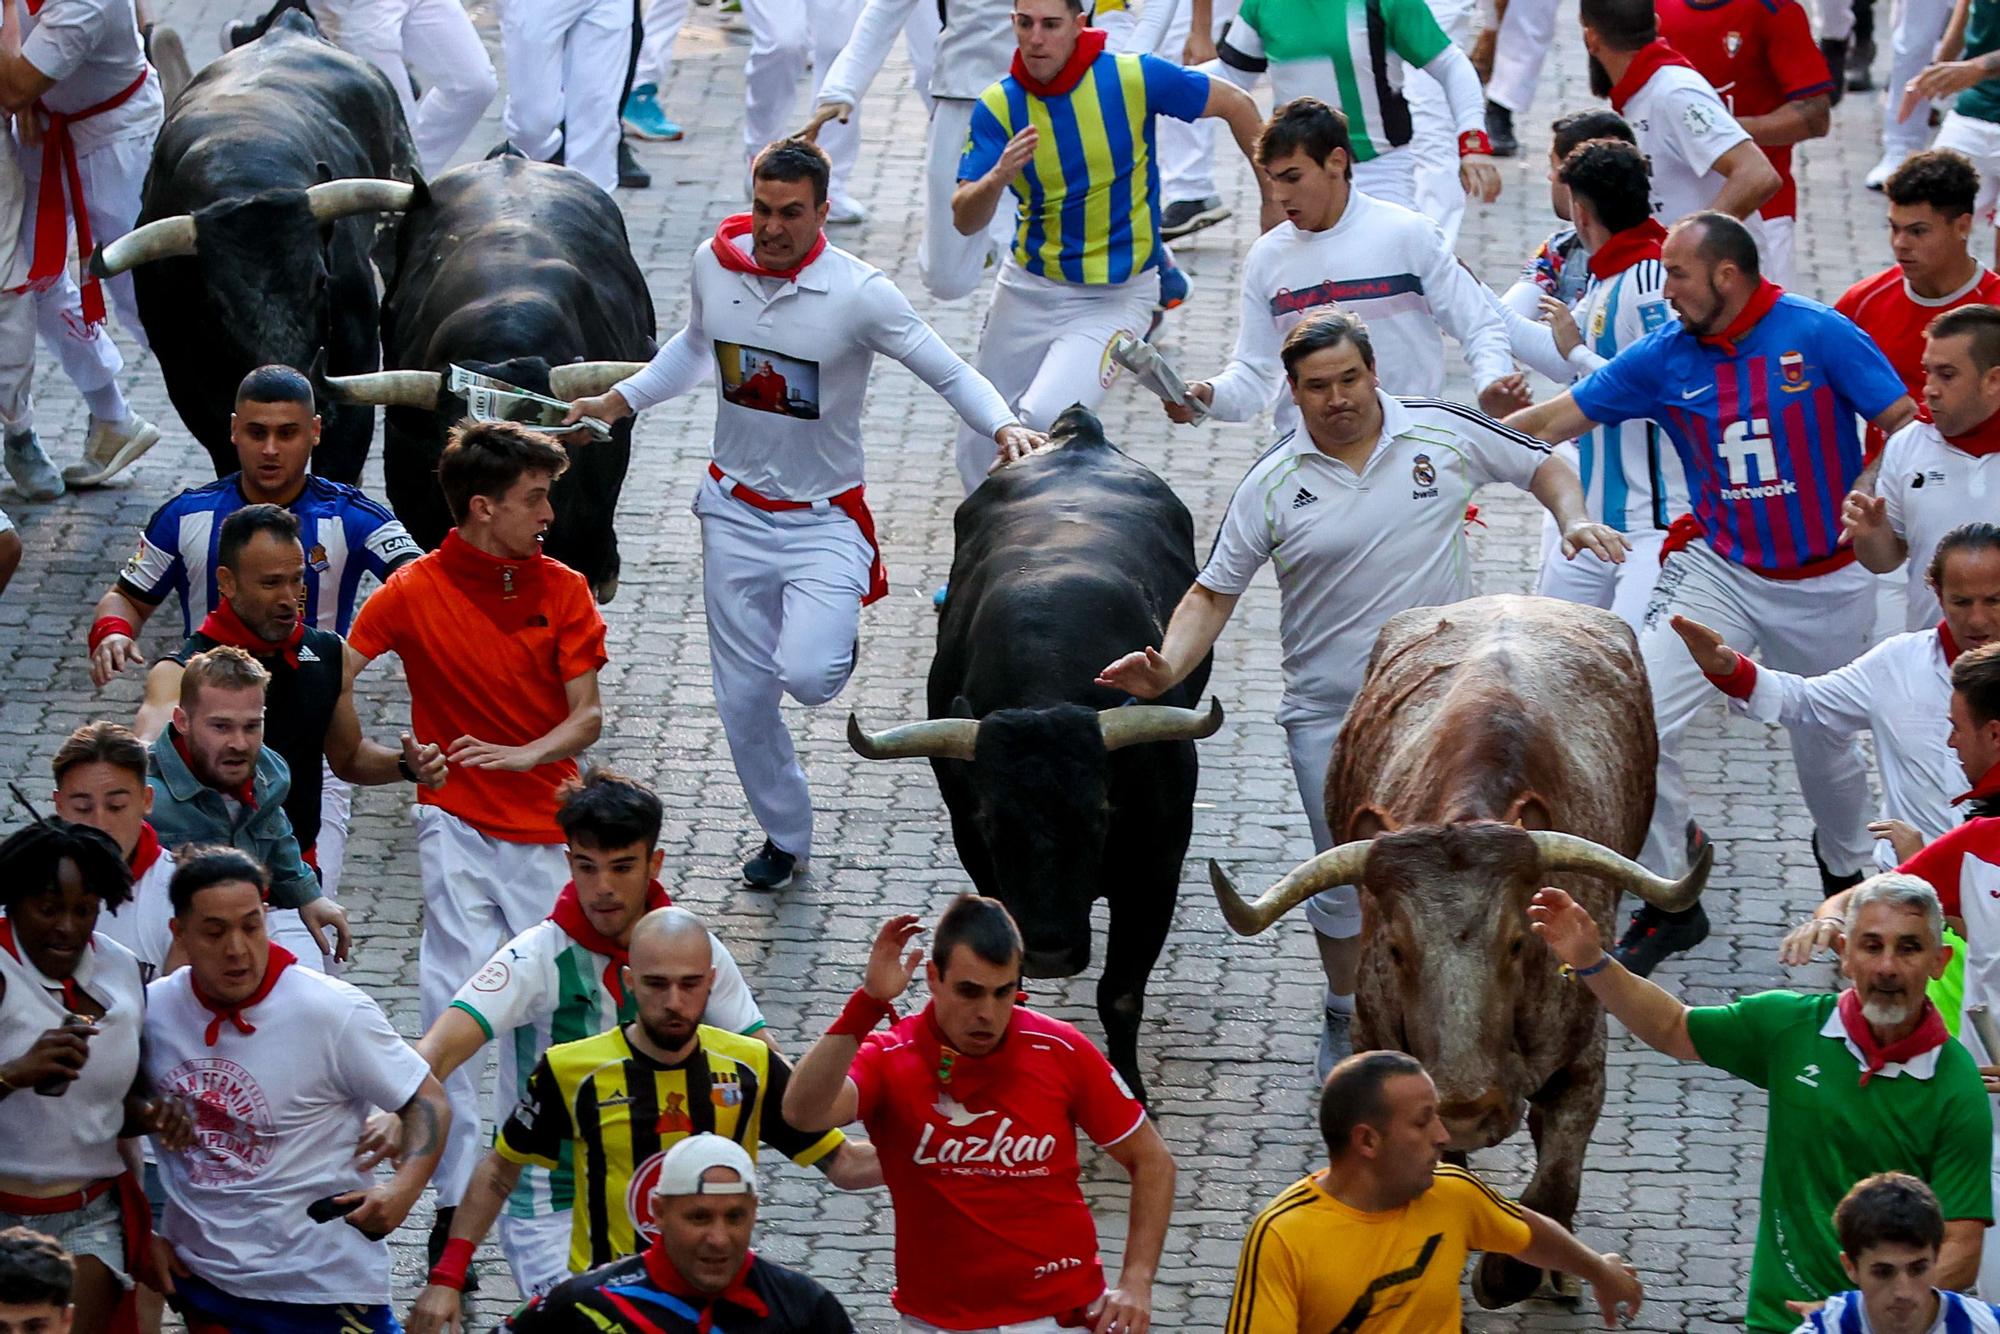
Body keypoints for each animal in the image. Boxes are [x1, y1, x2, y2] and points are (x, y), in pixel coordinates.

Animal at [844, 410, 1216, 1104]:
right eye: (994, 820)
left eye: (1101, 813)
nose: (1048, 952)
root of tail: (1079, 435)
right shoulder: (976, 850)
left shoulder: (1157, 869)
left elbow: (1120, 994)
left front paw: (1129, 1090)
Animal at [1208, 600, 1712, 1312]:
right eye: (1394, 946)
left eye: (1520, 940)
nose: (1468, 1111)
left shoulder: (1584, 1062)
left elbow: (1554, 1185)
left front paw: (1512, 1269)